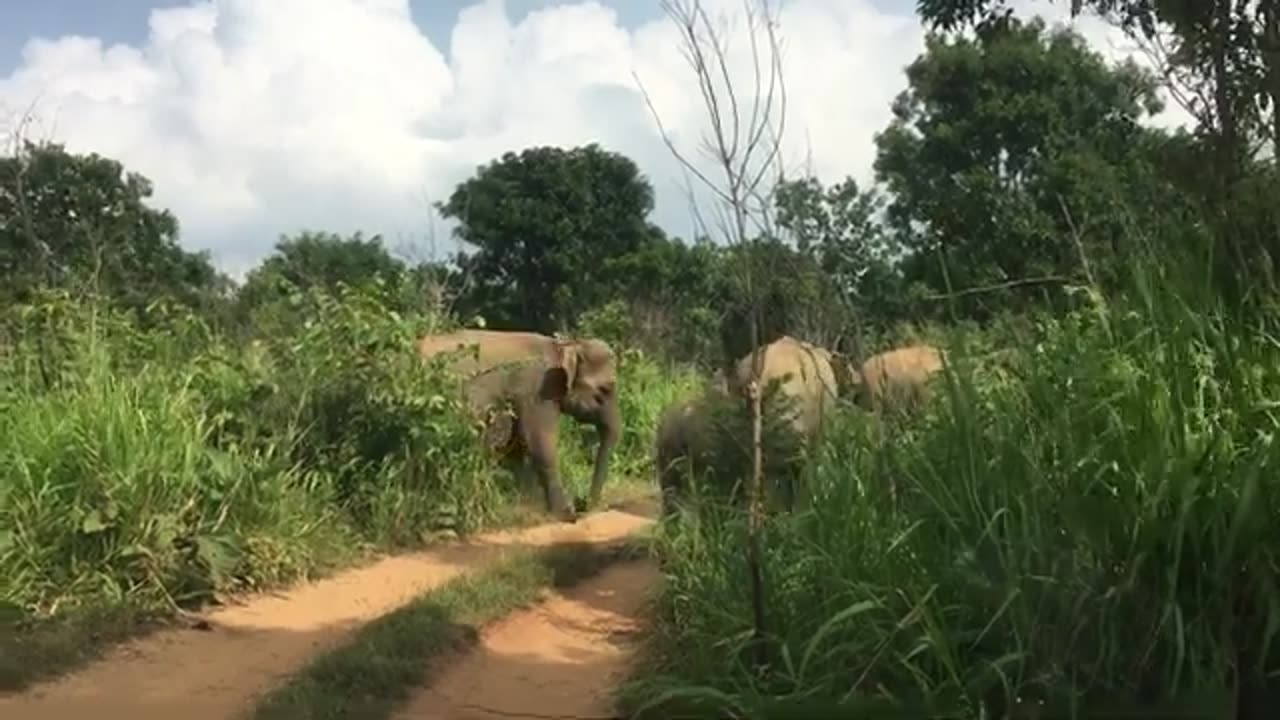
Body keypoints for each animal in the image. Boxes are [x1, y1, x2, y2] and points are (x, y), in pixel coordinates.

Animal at [417, 327, 622, 517]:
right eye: (605, 389)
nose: (582, 503)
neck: (562, 346)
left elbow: (517, 446)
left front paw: (524, 505)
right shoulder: (537, 389)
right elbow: (539, 442)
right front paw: (565, 513)